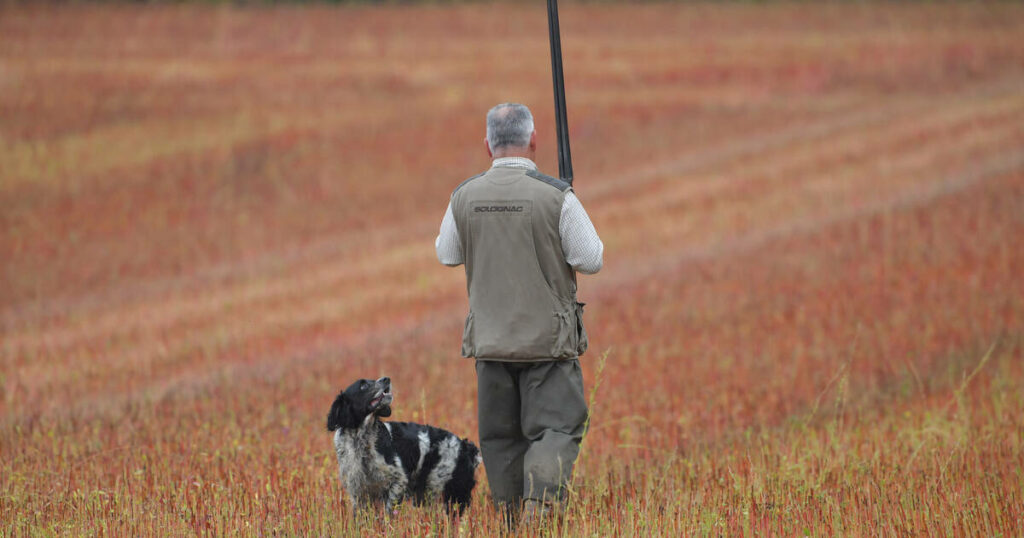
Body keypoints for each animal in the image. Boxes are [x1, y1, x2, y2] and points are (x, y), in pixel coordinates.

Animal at [325, 375, 481, 514]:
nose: (386, 378)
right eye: (363, 385)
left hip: (447, 492)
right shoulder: (357, 490)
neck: (361, 439)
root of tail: (466, 446)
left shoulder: (398, 480)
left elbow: (388, 512)